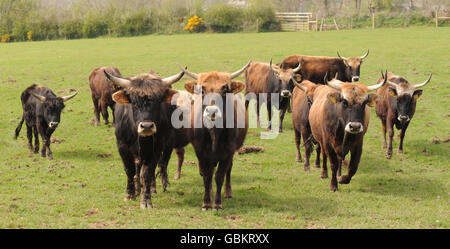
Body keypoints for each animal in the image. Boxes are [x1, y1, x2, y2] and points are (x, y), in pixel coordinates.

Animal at [178, 62, 250, 210]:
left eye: (225, 89)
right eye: (202, 90)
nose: (212, 111)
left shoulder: (228, 152)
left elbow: (220, 176)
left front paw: (217, 203)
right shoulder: (201, 152)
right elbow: (207, 176)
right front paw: (206, 202)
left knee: (229, 169)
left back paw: (228, 192)